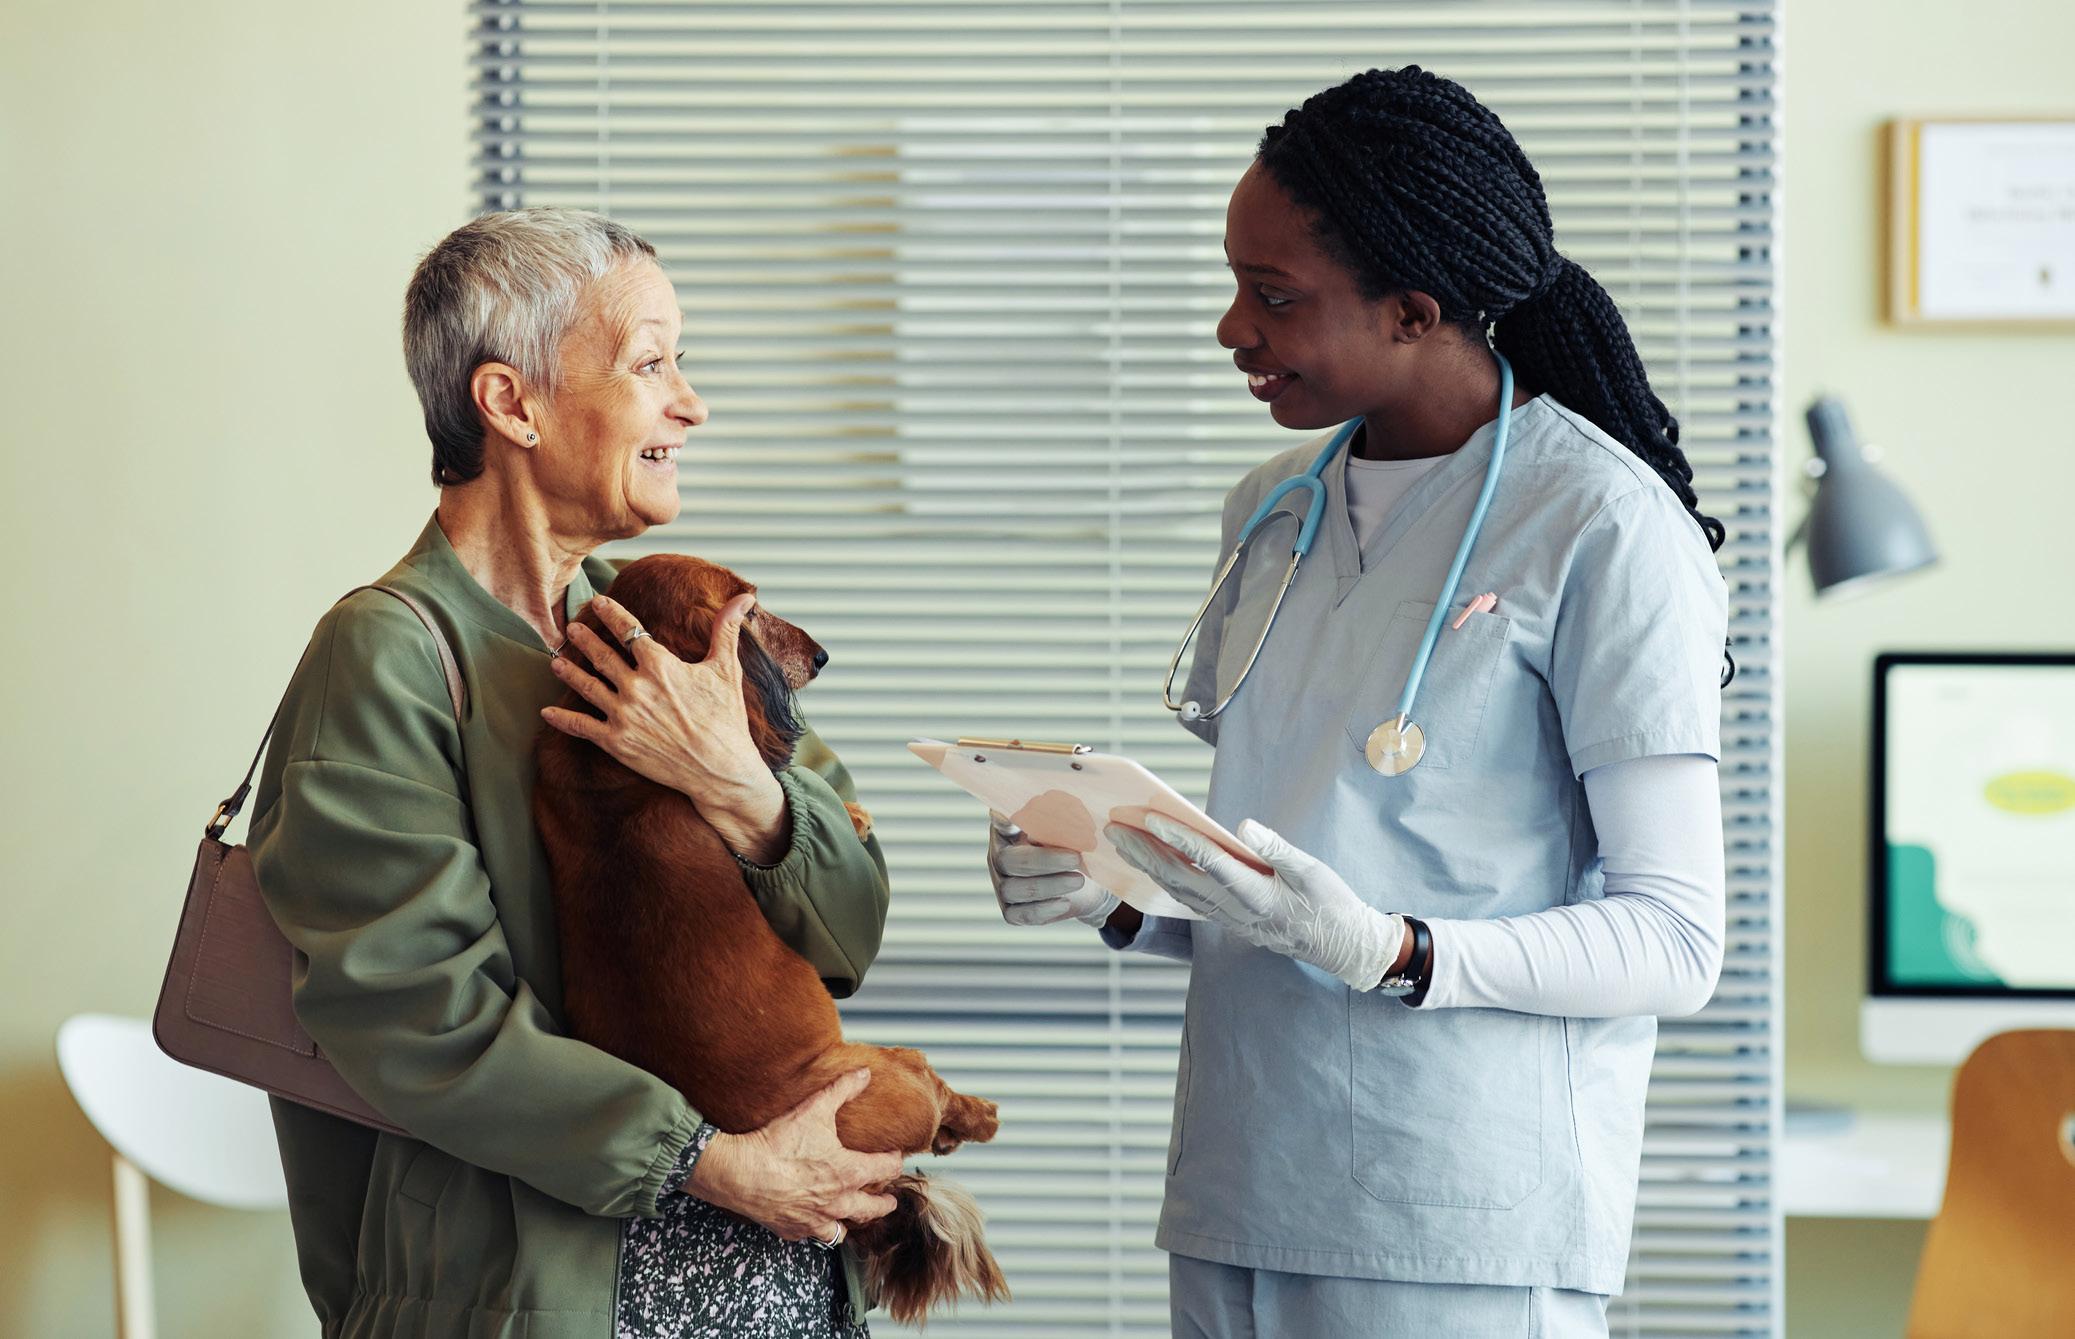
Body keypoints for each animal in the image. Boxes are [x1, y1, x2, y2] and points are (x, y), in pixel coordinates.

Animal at [533, 553, 1007, 1324]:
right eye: (750, 609)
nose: (821, 656)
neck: (606, 766)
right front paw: (850, 811)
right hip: (894, 1069)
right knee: (939, 1094)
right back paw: (979, 1114)